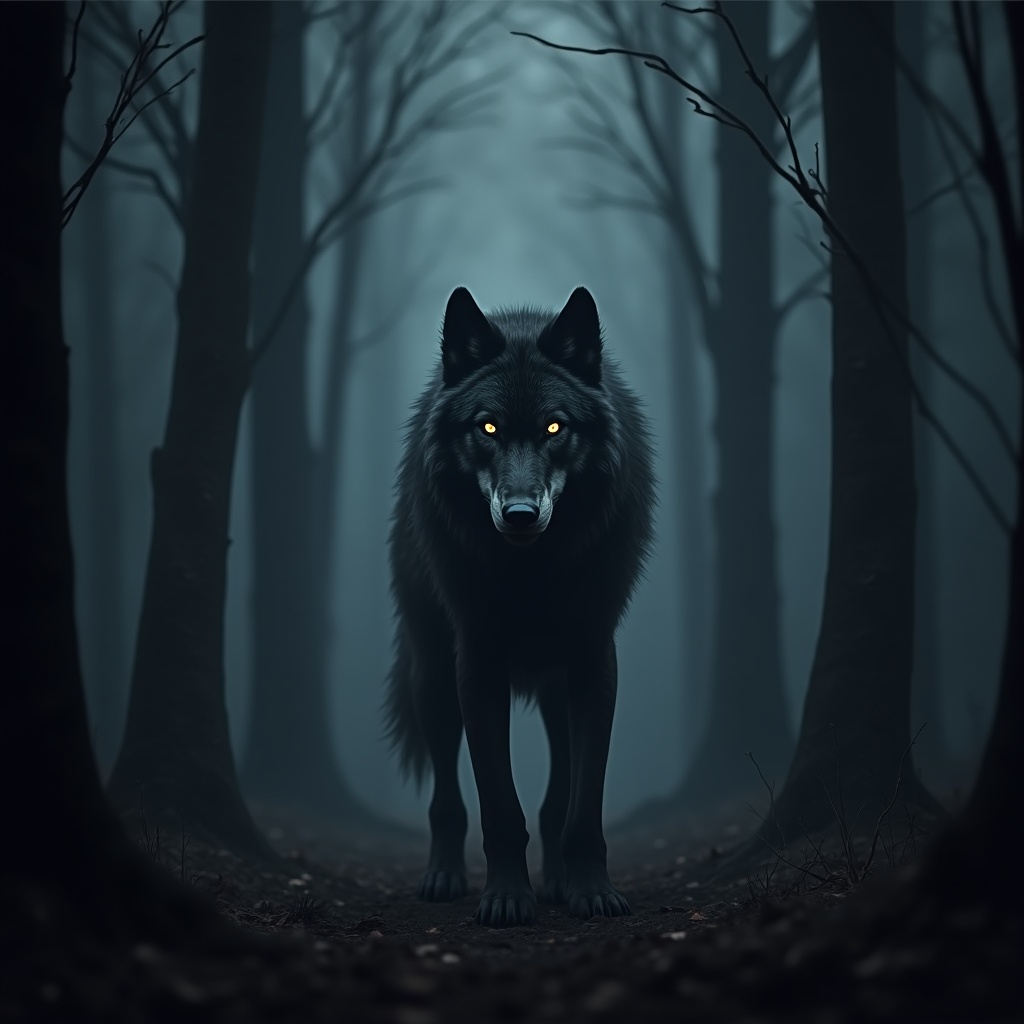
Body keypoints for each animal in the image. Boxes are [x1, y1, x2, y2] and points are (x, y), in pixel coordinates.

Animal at [384, 286, 655, 927]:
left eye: (555, 427)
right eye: (488, 427)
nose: (521, 515)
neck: (533, 573)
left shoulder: (593, 660)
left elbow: (582, 804)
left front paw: (591, 891)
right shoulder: (477, 663)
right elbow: (498, 806)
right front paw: (506, 898)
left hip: (556, 687)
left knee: (557, 798)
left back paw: (557, 883)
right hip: (433, 675)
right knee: (446, 798)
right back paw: (444, 877)